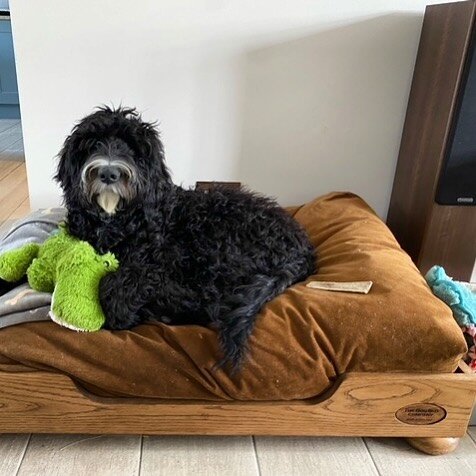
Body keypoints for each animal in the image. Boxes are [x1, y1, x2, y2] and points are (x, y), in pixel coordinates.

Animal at [54, 106, 316, 370]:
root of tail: (302, 248)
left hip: (216, 240)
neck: (120, 221)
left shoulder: (159, 263)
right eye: (94, 143)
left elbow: (118, 283)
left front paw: (123, 309)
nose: (109, 172)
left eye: (133, 149)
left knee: (210, 299)